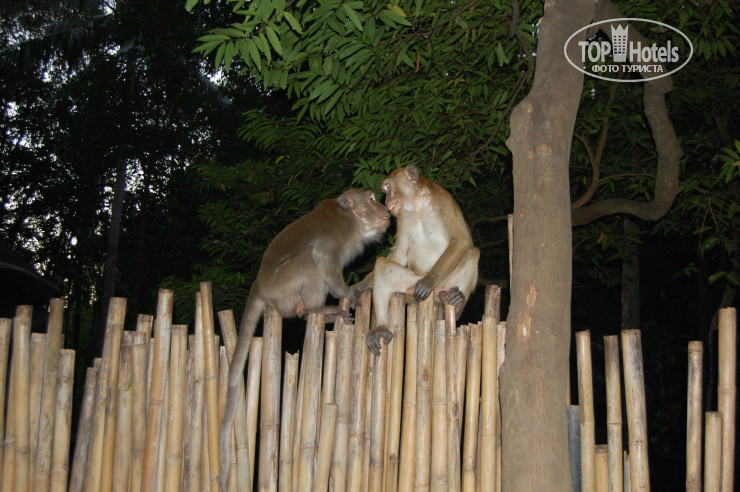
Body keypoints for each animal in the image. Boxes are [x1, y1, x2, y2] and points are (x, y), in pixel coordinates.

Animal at [218, 188, 390, 491]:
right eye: (371, 198)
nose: (384, 210)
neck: (352, 221)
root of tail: (259, 285)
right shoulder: (335, 232)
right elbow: (322, 257)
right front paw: (347, 291)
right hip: (282, 288)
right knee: (309, 259)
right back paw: (316, 309)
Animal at [356, 166, 480, 356]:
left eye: (388, 187)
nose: (387, 200)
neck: (418, 205)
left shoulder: (444, 200)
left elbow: (462, 241)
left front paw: (428, 281)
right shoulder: (401, 217)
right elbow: (399, 255)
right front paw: (361, 286)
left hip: (445, 283)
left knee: (472, 253)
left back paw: (458, 302)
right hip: (410, 290)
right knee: (383, 266)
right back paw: (381, 328)